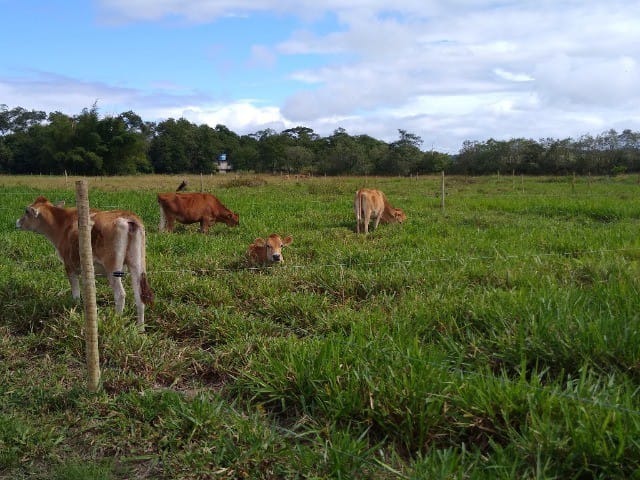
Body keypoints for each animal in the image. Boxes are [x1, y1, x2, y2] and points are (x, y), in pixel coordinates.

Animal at [15, 197, 154, 328]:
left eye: (26, 211)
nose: (17, 222)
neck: (62, 225)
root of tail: (127, 217)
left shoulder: (69, 266)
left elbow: (76, 293)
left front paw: (75, 309)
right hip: (137, 264)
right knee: (140, 296)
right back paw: (140, 329)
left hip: (112, 268)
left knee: (120, 294)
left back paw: (116, 321)